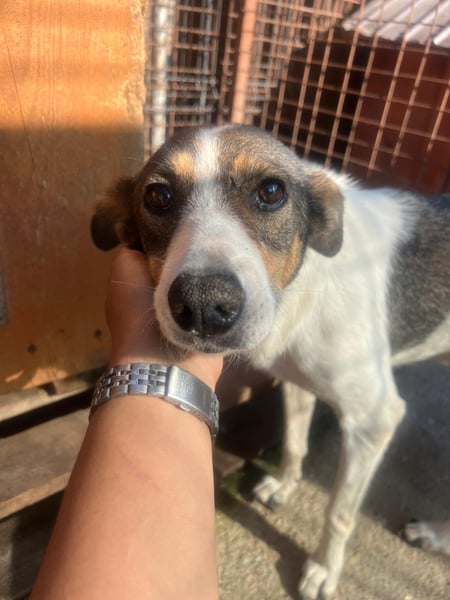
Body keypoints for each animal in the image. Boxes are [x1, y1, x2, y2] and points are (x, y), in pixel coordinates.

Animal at [91, 124, 450, 599]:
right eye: (158, 196)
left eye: (271, 191)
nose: (204, 305)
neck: (301, 293)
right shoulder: (296, 381)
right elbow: (295, 442)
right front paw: (283, 485)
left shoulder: (373, 419)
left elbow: (339, 512)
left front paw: (323, 569)